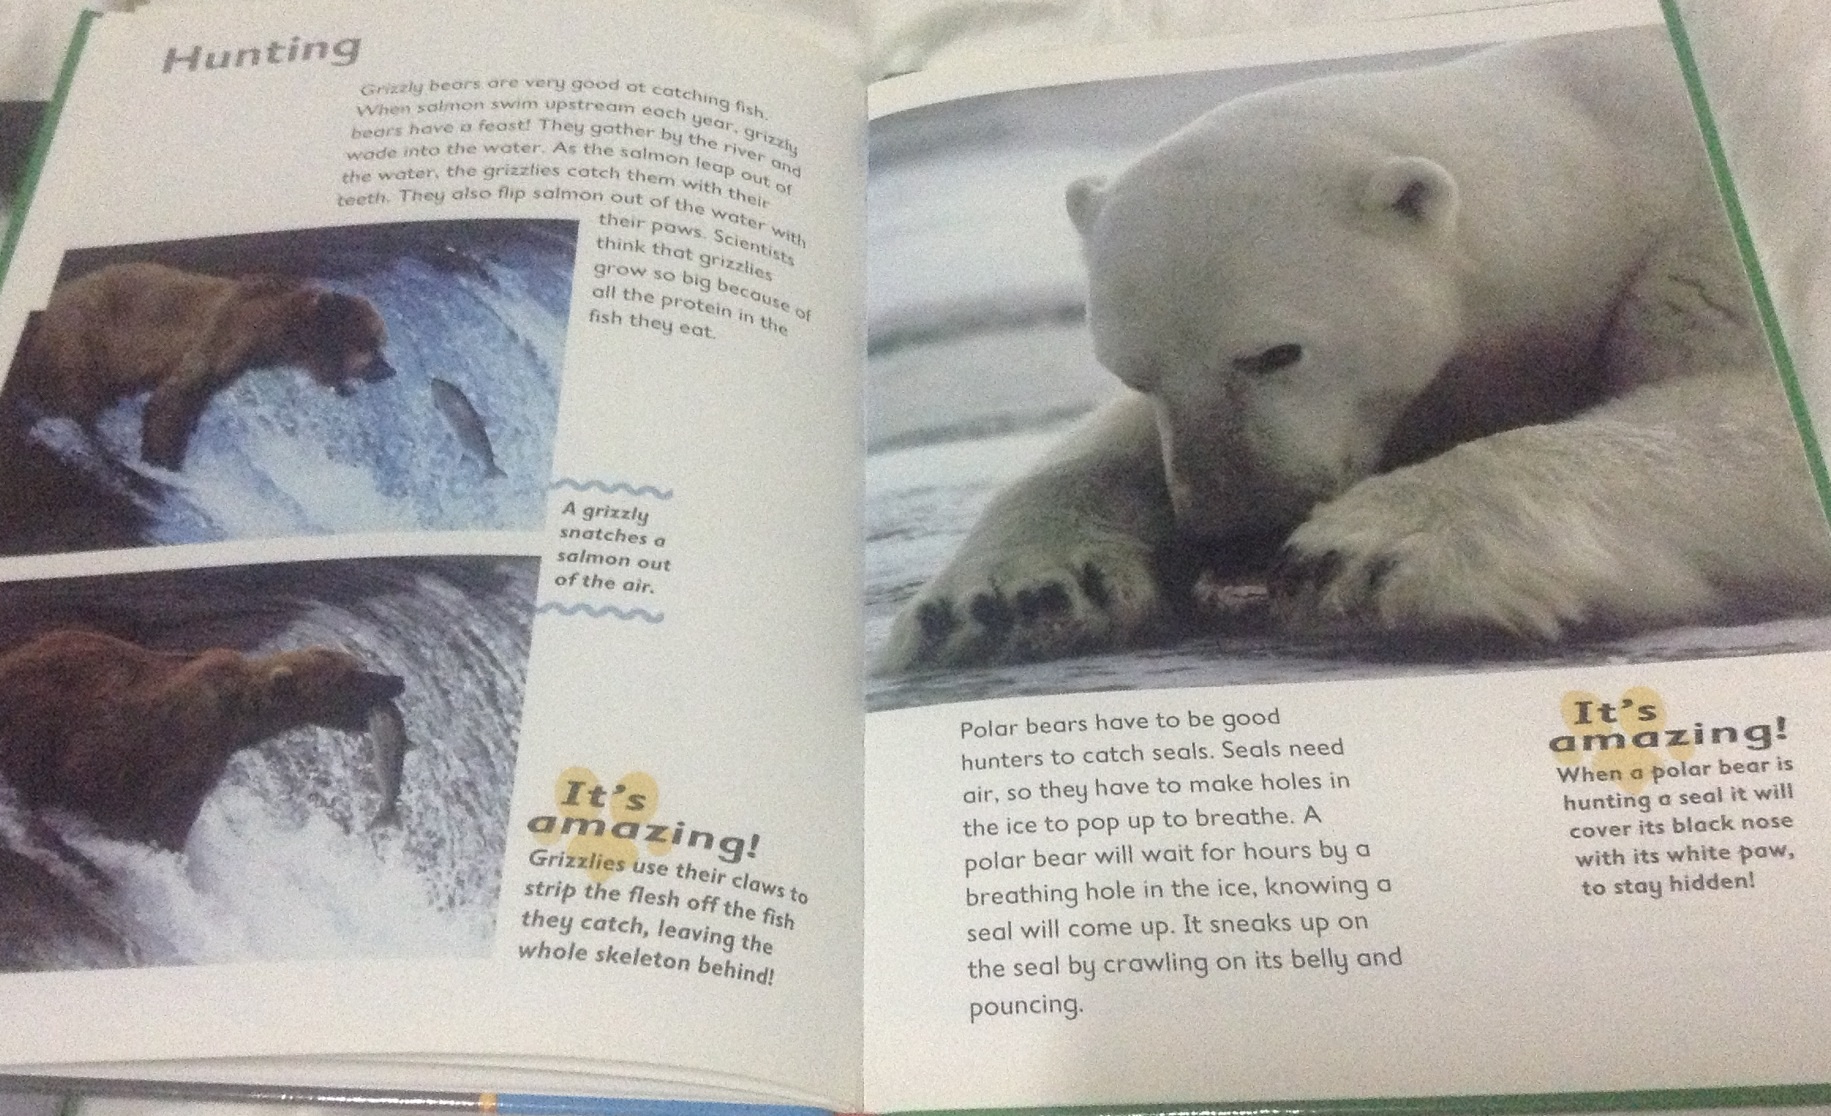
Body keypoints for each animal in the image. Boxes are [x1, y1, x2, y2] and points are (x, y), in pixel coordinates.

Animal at [0, 629, 405, 850]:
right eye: (350, 677)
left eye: (358, 666)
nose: (396, 680)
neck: (240, 721)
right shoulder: (177, 751)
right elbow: (163, 819)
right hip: (44, 719)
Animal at [6, 260, 396, 470]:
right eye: (372, 345)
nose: (389, 371)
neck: (277, 332)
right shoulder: (223, 334)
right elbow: (174, 400)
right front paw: (163, 461)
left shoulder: (230, 366)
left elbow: (191, 401)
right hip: (83, 337)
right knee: (76, 394)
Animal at [877, 25, 1831, 672]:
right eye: (1133, 371)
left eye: (1274, 353)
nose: (1232, 535)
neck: (1596, 149)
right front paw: (1005, 597)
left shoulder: (1713, 239)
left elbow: (1757, 419)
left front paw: (1359, 554)